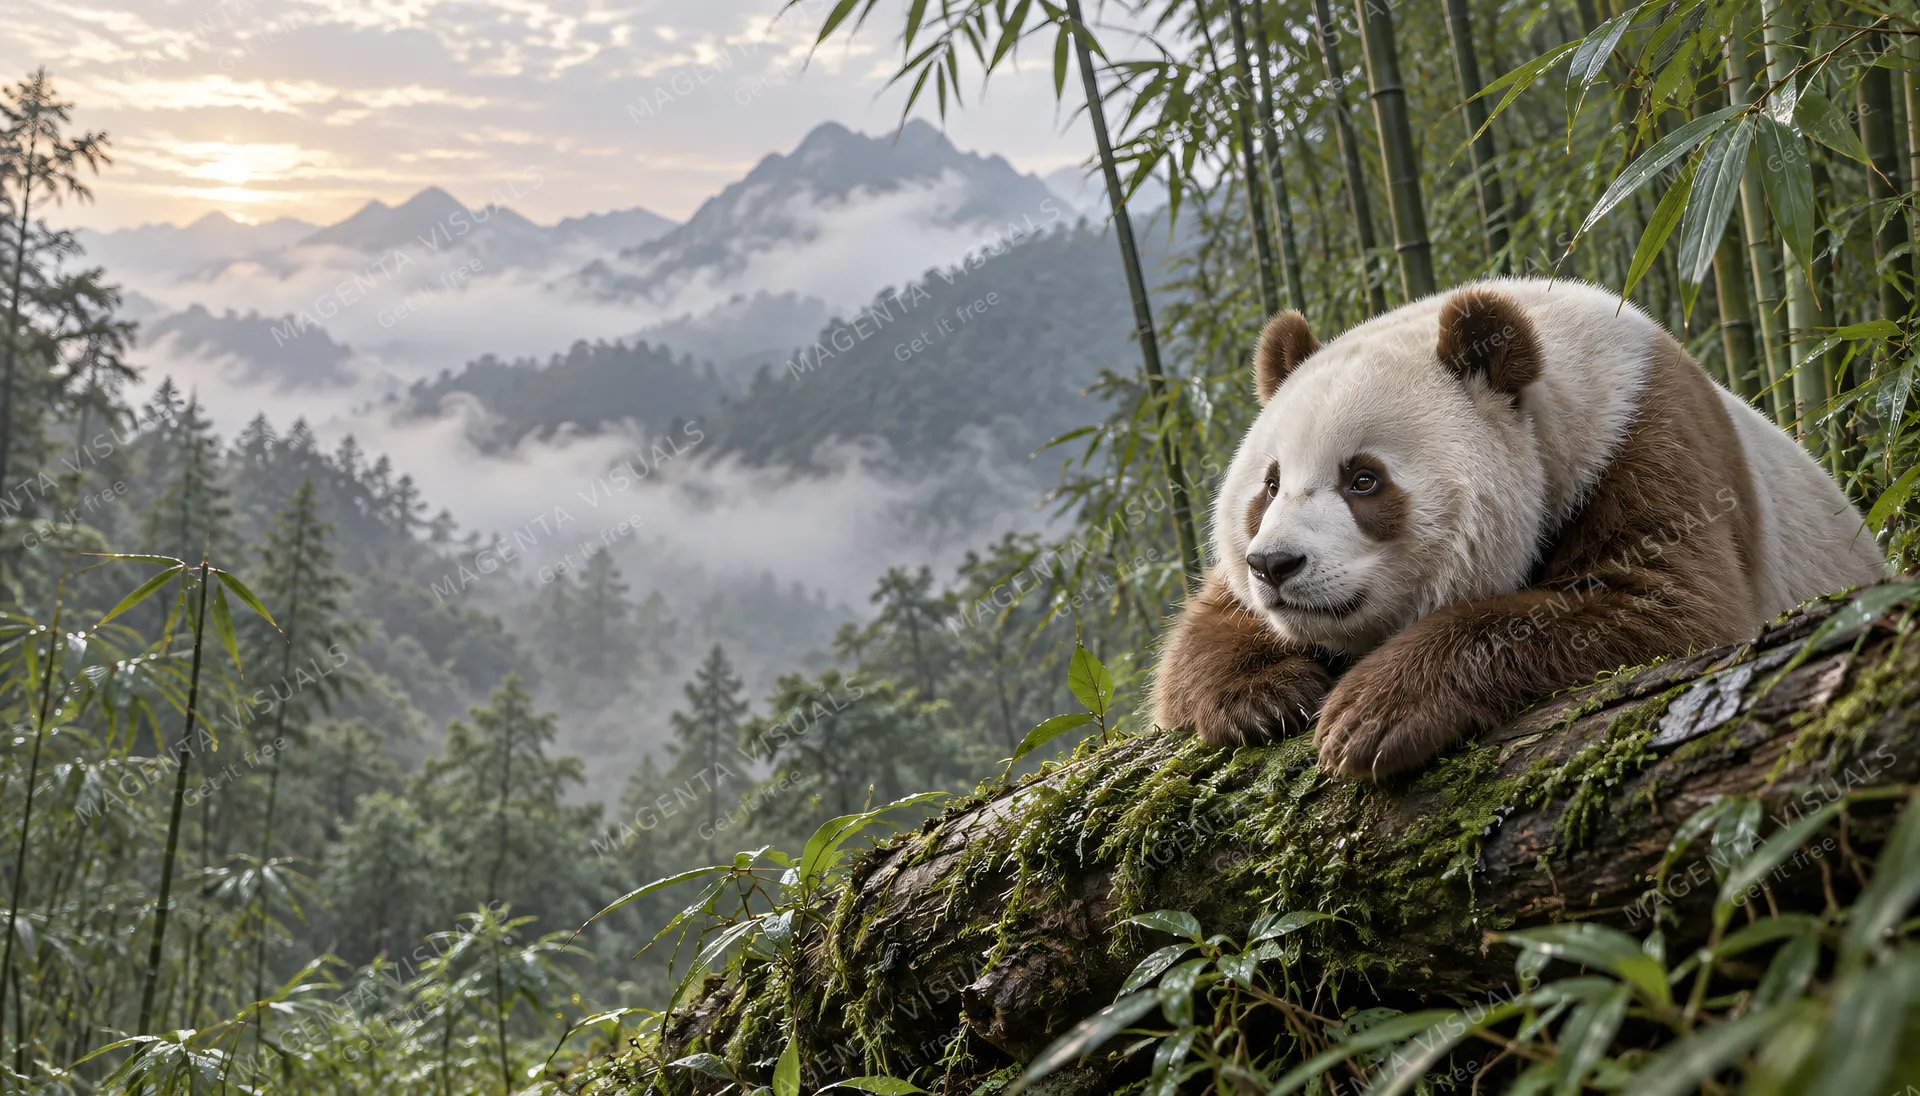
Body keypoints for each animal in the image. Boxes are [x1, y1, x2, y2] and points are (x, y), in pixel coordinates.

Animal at [1150, 277, 1888, 780]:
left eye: (1363, 479)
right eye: (1270, 485)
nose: (1275, 565)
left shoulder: (1647, 443)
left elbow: (1667, 606)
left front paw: (1372, 714)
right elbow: (1201, 632)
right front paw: (1265, 695)